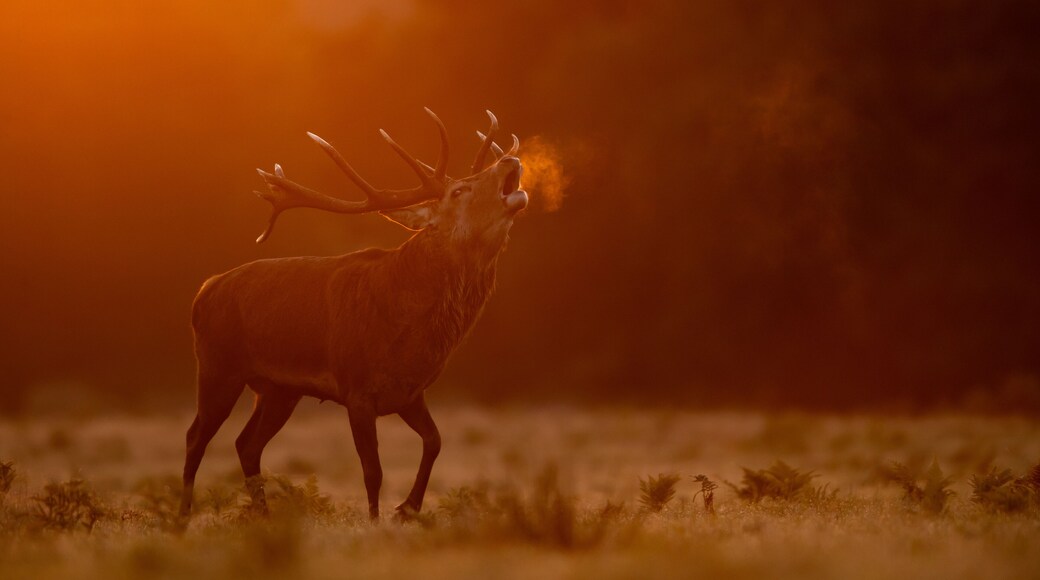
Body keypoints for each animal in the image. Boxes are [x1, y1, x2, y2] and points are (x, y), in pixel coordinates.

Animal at [179, 109, 528, 520]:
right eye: (459, 191)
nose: (508, 160)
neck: (407, 331)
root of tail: (204, 291)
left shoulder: (410, 393)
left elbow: (435, 441)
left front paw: (407, 508)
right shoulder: (357, 389)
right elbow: (372, 471)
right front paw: (377, 521)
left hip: (279, 390)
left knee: (246, 444)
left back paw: (263, 516)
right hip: (218, 367)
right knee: (196, 436)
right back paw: (181, 517)